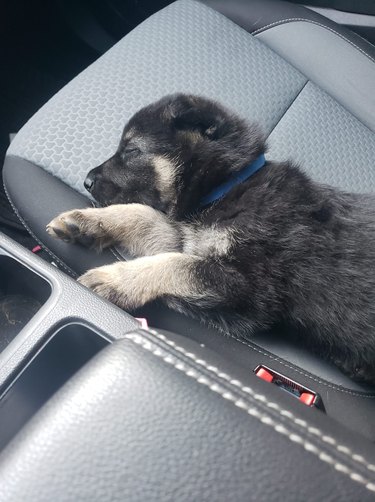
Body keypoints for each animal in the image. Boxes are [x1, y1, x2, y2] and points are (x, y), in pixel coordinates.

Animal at [47, 94, 375, 384]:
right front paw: (89, 221)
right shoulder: (190, 235)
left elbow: (173, 264)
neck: (232, 185)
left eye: (132, 151)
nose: (87, 181)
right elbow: (143, 216)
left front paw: (116, 280)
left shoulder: (248, 289)